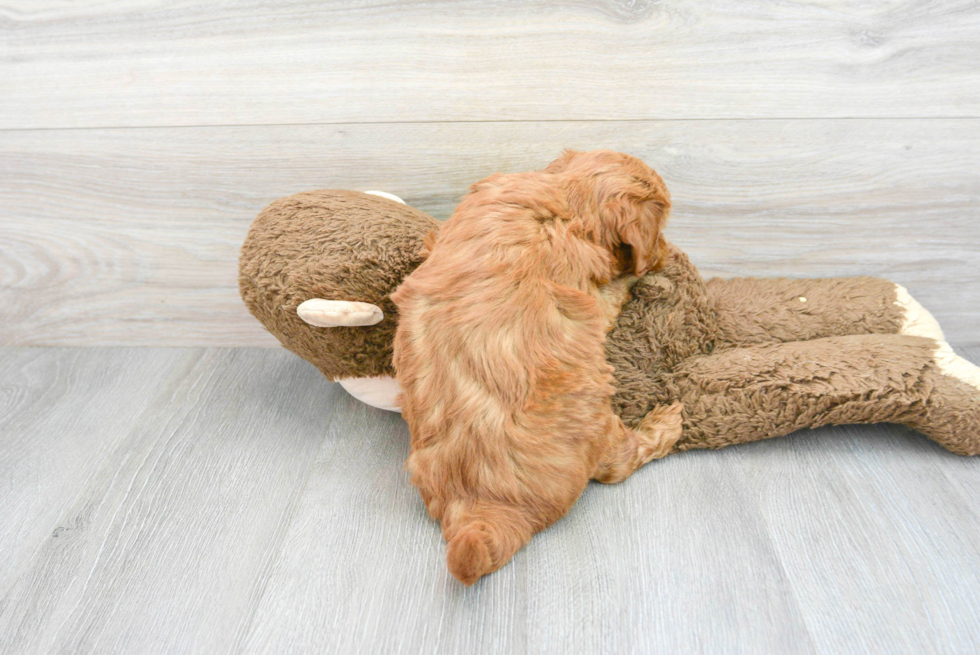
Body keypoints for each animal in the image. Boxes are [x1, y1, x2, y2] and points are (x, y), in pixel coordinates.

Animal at [388, 149, 680, 584]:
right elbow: (612, 293)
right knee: (618, 463)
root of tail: (480, 502)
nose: (664, 251)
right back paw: (666, 422)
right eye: (660, 227)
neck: (566, 196)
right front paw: (639, 276)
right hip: (597, 417)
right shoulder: (592, 296)